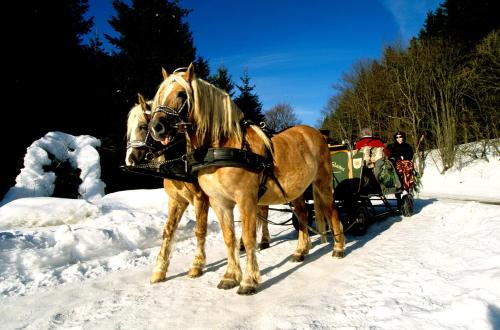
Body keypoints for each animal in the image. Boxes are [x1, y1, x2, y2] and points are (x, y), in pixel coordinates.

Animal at [127, 92, 272, 284]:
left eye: (143, 126)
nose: (129, 159)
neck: (182, 161)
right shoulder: (176, 201)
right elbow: (168, 231)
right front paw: (159, 270)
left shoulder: (200, 198)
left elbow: (200, 229)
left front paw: (197, 265)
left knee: (263, 212)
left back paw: (264, 240)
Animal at [147, 63, 344, 294]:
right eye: (159, 95)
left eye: (181, 94)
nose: (156, 127)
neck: (221, 147)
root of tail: (317, 134)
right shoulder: (219, 202)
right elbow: (229, 238)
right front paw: (230, 276)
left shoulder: (246, 198)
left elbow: (249, 237)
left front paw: (248, 280)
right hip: (296, 190)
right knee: (303, 215)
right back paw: (300, 251)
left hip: (322, 183)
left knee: (332, 210)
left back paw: (339, 247)